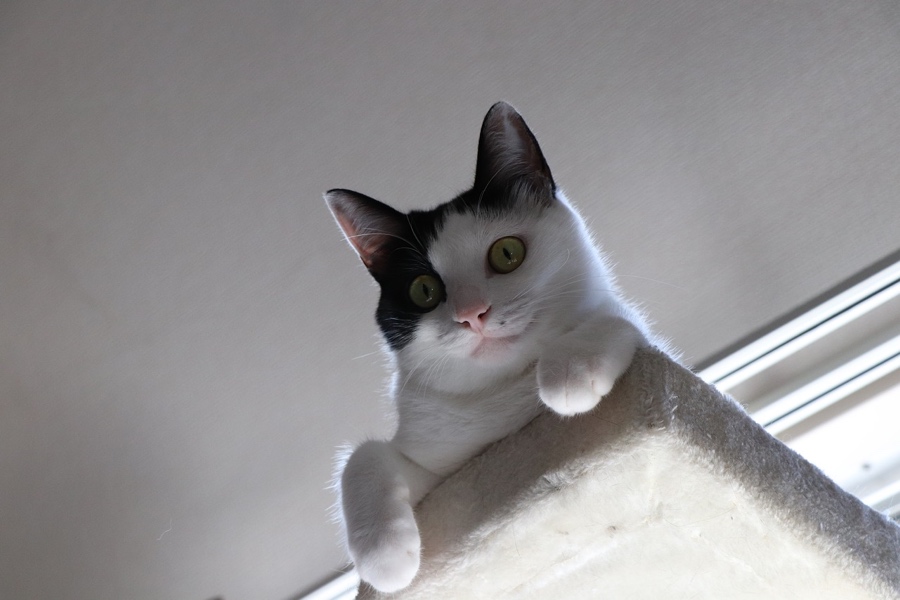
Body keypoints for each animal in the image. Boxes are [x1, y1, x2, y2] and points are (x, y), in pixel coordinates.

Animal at [326, 101, 652, 592]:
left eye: (507, 253)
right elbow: (364, 457)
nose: (471, 314)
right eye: (424, 290)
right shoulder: (440, 470)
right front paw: (385, 557)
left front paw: (569, 371)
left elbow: (617, 317)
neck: (500, 399)